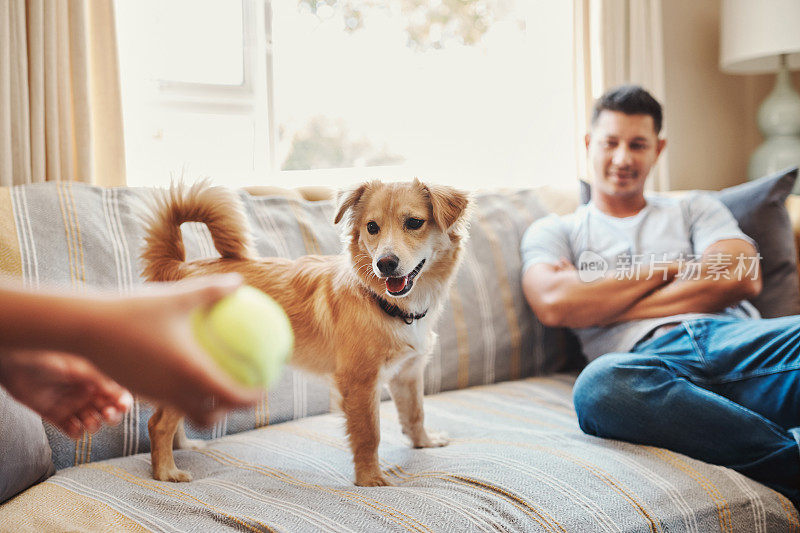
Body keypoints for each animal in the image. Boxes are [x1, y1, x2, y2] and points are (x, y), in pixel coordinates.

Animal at [141, 179, 472, 486]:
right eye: (372, 227)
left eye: (414, 223)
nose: (385, 264)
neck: (384, 303)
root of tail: (178, 268)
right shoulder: (360, 382)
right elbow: (369, 434)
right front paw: (370, 479)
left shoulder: (408, 373)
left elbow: (415, 413)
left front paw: (424, 442)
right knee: (157, 424)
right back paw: (166, 471)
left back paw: (183, 446)